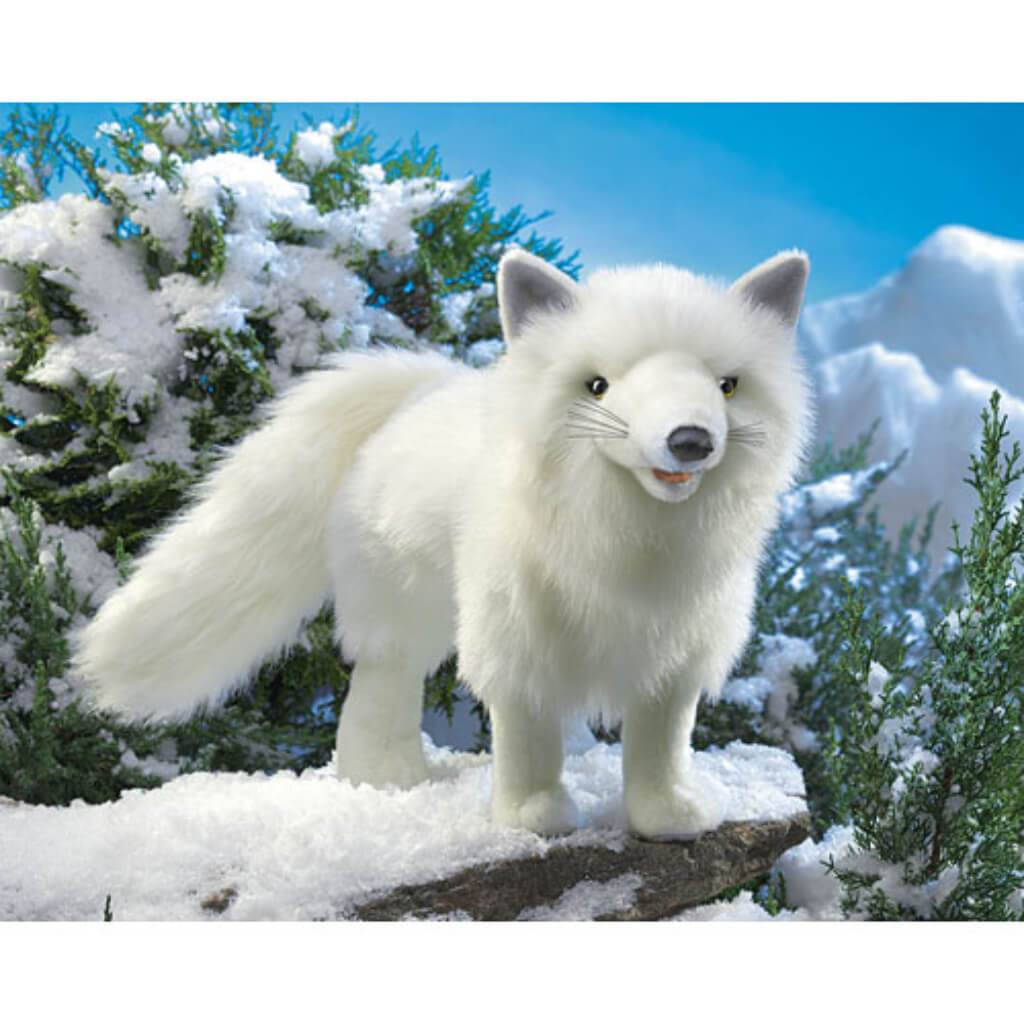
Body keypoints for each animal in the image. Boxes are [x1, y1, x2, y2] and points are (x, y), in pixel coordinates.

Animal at [75, 248, 812, 839]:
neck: (630, 540)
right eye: (598, 386)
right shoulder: (516, 641)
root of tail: (422, 391)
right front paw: (533, 816)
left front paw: (667, 817)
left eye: (726, 385)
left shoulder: (675, 653)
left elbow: (660, 741)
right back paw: (386, 778)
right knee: (381, 685)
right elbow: (528, 736)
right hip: (408, 611)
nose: (690, 439)